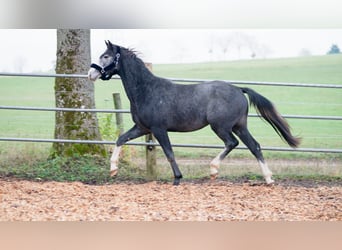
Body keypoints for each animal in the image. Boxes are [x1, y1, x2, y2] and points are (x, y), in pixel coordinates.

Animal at [88, 41, 300, 185]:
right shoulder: (142, 128)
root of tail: (239, 90)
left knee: (232, 143)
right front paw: (113, 170)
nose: (91, 74)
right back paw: (268, 179)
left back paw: (214, 170)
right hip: (240, 126)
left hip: (221, 126)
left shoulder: (158, 129)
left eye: (105, 56)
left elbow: (169, 152)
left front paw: (177, 178)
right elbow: (121, 139)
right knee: (254, 146)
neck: (146, 90)